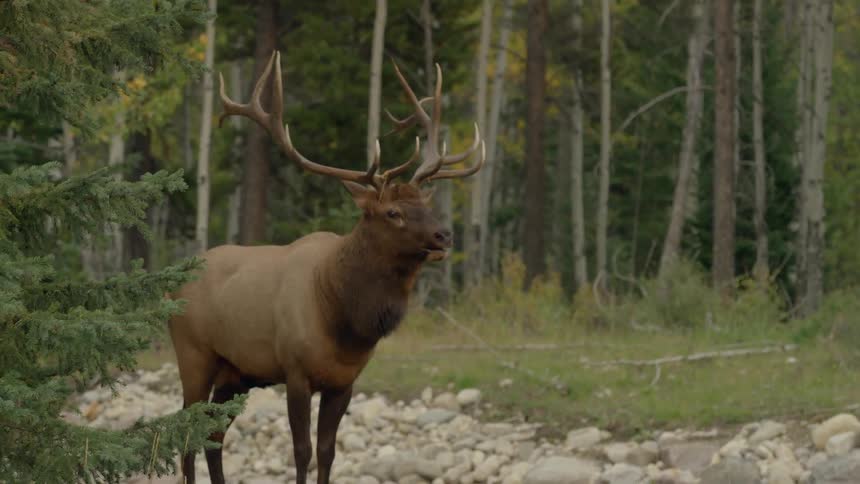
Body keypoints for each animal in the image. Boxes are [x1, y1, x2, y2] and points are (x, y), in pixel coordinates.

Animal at [167, 50, 483, 484]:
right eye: (393, 212)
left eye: (425, 204)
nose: (444, 235)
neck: (342, 318)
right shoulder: (296, 372)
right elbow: (301, 452)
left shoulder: (343, 383)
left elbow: (328, 452)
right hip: (194, 354)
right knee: (187, 436)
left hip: (237, 373)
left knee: (214, 435)